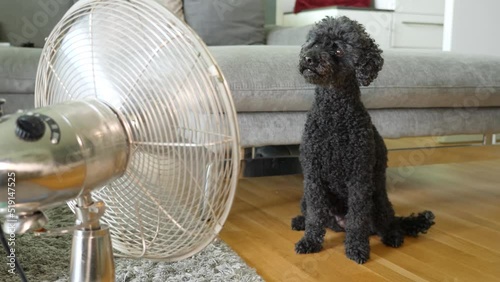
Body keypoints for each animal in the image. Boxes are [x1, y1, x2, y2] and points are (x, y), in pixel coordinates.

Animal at [292, 17, 436, 264]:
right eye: (314, 42)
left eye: (338, 49)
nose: (308, 58)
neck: (334, 114)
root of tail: (339, 224)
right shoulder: (313, 176)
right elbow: (315, 216)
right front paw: (309, 242)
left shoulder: (358, 178)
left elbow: (358, 220)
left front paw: (357, 249)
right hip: (308, 196)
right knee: (314, 213)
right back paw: (300, 221)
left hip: (378, 199)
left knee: (388, 222)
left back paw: (393, 236)